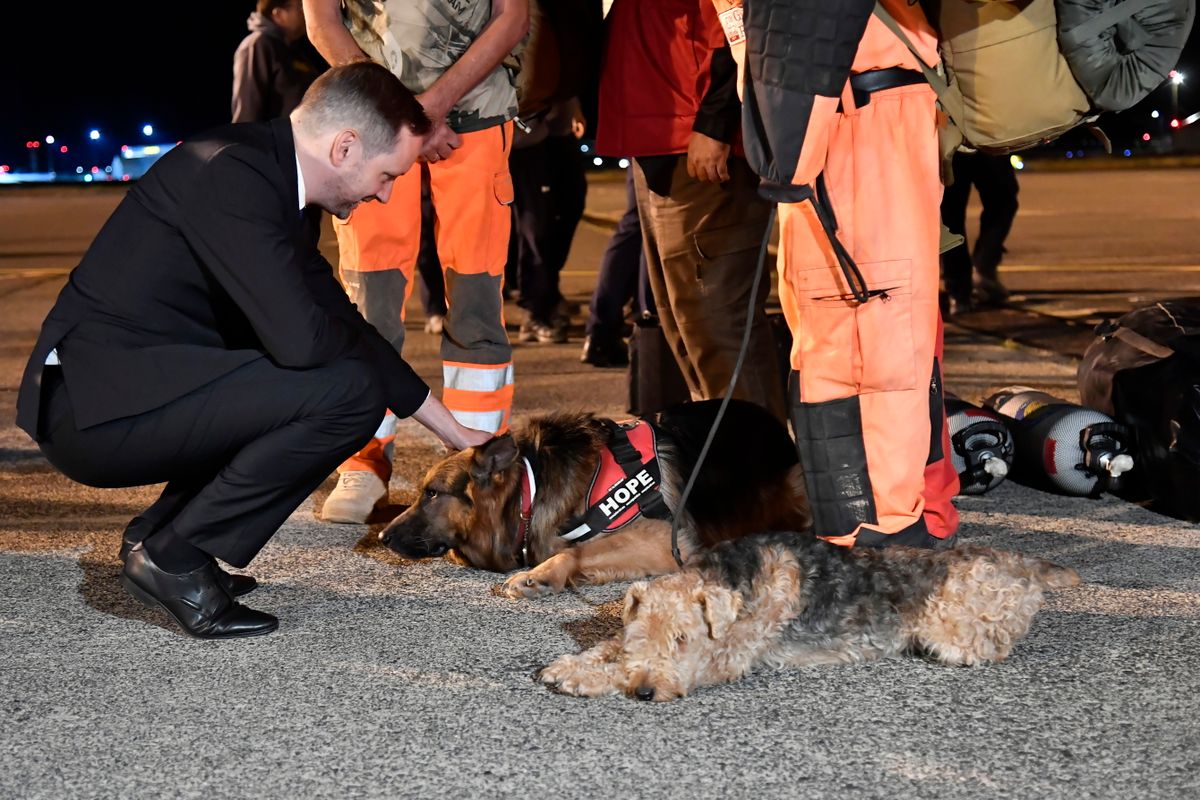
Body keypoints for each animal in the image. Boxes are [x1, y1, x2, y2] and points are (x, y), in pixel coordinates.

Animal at [379, 398, 811, 597]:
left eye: (432, 493)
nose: (381, 537)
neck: (530, 491)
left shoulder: (663, 541)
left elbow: (574, 551)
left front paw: (541, 575)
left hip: (796, 481)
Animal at [540, 532, 1084, 700]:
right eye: (642, 637)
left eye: (682, 640)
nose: (646, 692)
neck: (731, 580)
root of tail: (1021, 567)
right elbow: (607, 648)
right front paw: (570, 666)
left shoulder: (726, 657)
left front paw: (585, 679)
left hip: (956, 622)